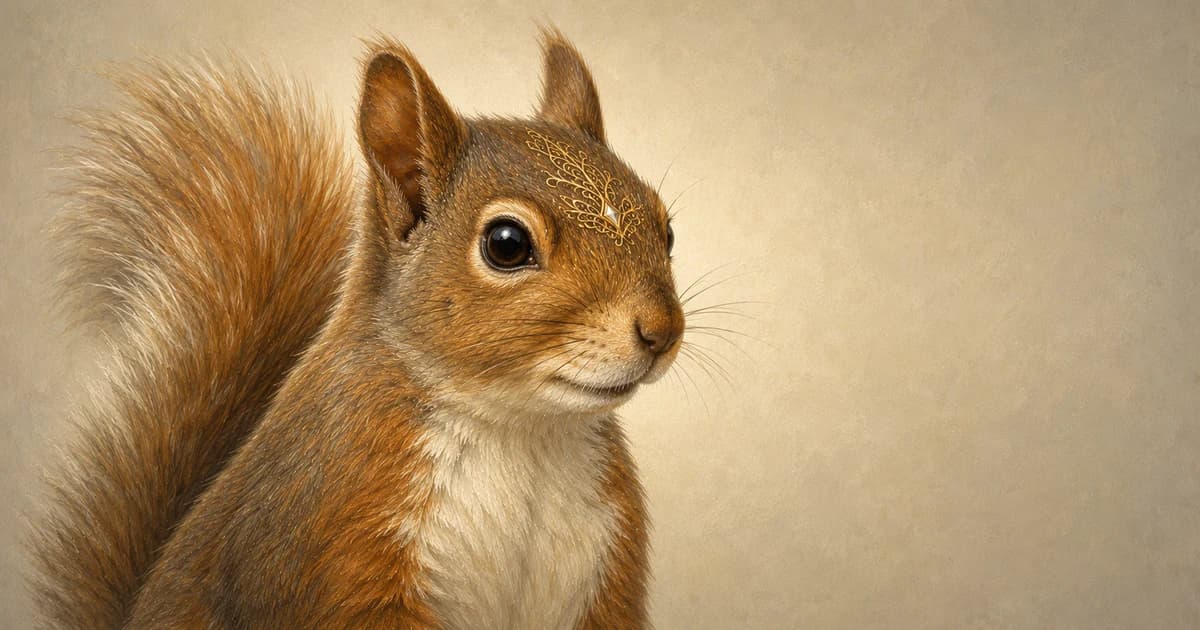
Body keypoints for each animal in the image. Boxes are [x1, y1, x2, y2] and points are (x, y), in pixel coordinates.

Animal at [32, 30, 683, 629]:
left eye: (668, 228)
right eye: (506, 244)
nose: (662, 330)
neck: (523, 433)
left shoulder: (609, 579)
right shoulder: (339, 545)